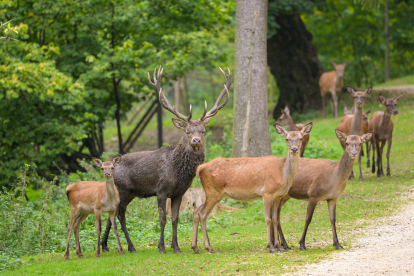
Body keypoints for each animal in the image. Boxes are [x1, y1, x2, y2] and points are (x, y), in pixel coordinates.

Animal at [98, 66, 231, 253]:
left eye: (203, 130)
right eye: (187, 131)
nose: (196, 140)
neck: (178, 172)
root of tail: (109, 168)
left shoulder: (179, 193)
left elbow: (175, 219)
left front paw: (176, 246)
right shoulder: (160, 190)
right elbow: (162, 219)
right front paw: (161, 246)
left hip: (129, 193)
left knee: (113, 214)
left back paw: (104, 245)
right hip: (122, 190)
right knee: (120, 215)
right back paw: (130, 246)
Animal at [192, 124, 312, 253]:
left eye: (300, 138)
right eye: (287, 138)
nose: (294, 149)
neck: (284, 173)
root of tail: (200, 168)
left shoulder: (278, 196)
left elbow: (276, 219)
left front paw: (279, 247)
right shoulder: (267, 192)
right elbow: (268, 219)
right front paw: (271, 247)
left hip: (210, 193)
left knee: (196, 211)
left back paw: (195, 247)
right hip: (213, 192)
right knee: (203, 214)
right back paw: (209, 247)